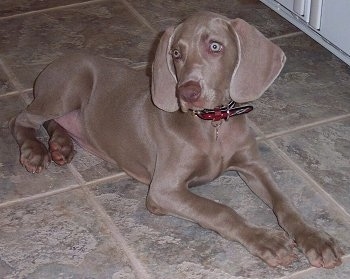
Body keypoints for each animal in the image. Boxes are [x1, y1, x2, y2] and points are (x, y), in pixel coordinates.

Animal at [9, 11, 344, 270]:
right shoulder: (163, 189)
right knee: (21, 119)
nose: (187, 92)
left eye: (215, 46)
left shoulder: (253, 166)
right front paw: (266, 240)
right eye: (176, 54)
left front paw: (315, 238)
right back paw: (35, 151)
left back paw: (60, 145)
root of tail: (59, 58)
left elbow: (284, 202)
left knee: (50, 122)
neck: (213, 124)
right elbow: (219, 210)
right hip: (68, 88)